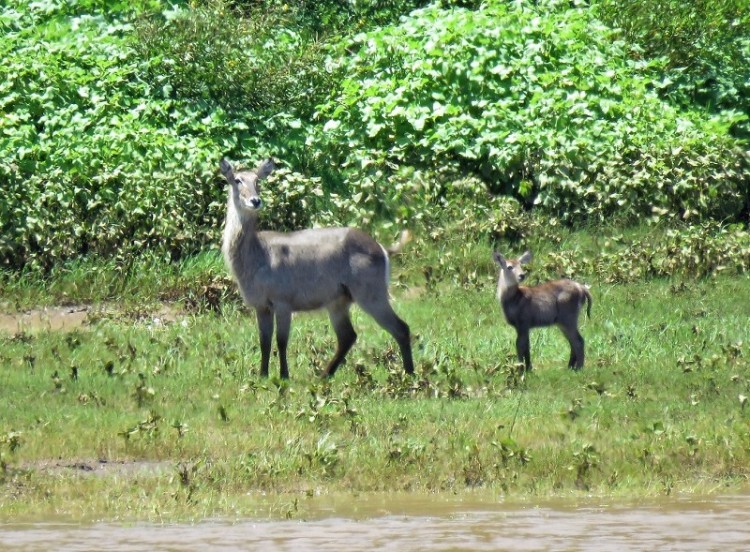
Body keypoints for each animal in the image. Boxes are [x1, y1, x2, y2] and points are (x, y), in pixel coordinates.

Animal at [222, 157, 418, 378]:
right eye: (237, 180)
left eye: (257, 180)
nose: (255, 201)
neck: (257, 255)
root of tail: (382, 248)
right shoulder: (261, 305)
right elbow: (264, 342)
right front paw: (262, 376)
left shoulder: (283, 302)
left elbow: (281, 341)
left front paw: (284, 376)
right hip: (339, 301)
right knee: (348, 336)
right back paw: (324, 375)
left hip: (371, 295)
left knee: (401, 328)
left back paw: (409, 375)